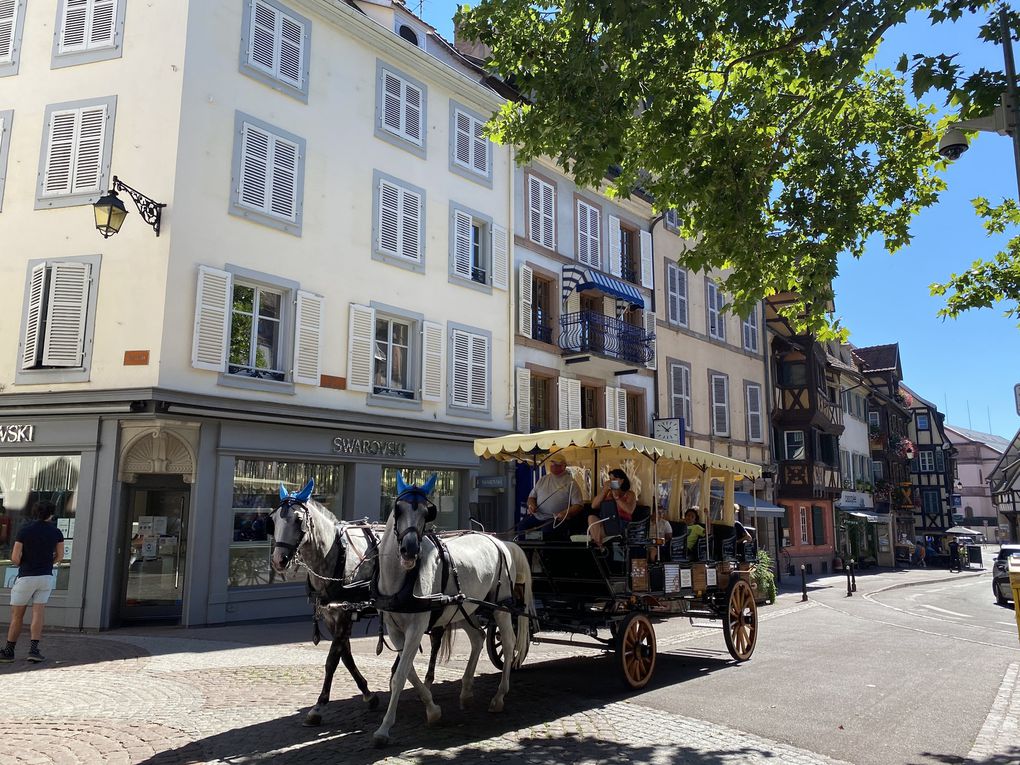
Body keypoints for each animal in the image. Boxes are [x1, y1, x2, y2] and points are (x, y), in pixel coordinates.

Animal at [373, 473, 534, 750]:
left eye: (427, 512)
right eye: (398, 508)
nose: (409, 550)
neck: (401, 579)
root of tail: (500, 541)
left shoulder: (417, 627)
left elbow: (401, 674)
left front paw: (384, 729)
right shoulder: (395, 630)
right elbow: (408, 672)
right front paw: (432, 709)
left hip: (501, 607)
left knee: (509, 642)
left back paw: (499, 697)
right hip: (466, 607)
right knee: (478, 638)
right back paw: (467, 692)